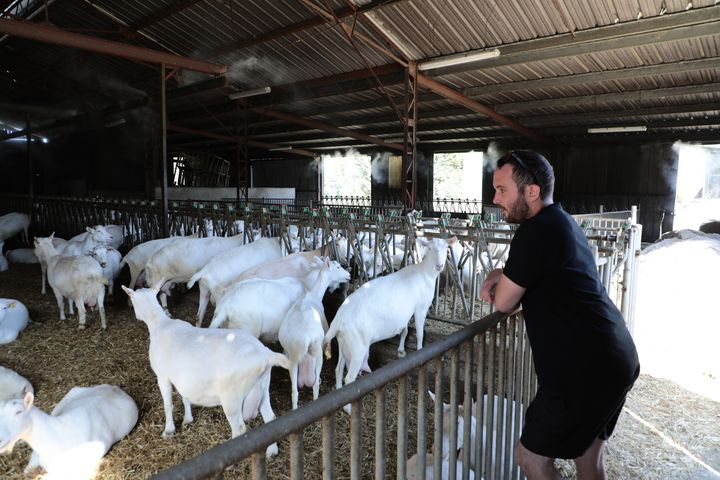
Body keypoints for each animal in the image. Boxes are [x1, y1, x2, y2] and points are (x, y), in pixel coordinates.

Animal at [123, 284, 290, 458]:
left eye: (132, 300)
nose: (135, 315)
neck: (160, 323)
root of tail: (265, 354)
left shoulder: (162, 375)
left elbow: (167, 403)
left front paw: (168, 430)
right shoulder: (183, 378)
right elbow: (185, 397)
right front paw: (187, 419)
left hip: (232, 397)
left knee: (239, 428)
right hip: (262, 386)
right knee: (270, 418)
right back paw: (271, 451)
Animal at [208, 256, 348, 344]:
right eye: (338, 267)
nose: (349, 275)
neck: (306, 283)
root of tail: (225, 307)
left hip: (226, 328)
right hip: (246, 328)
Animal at [280, 258, 338, 408]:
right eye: (337, 266)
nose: (349, 275)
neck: (313, 294)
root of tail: (305, 337)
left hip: (293, 358)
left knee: (294, 392)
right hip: (317, 350)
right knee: (315, 386)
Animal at [326, 235, 456, 398]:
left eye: (446, 248)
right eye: (430, 248)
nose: (439, 265)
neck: (424, 273)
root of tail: (339, 320)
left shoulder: (405, 313)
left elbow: (405, 329)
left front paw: (401, 351)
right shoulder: (420, 308)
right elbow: (419, 334)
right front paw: (420, 353)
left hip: (344, 342)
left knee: (338, 369)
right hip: (357, 347)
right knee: (349, 378)